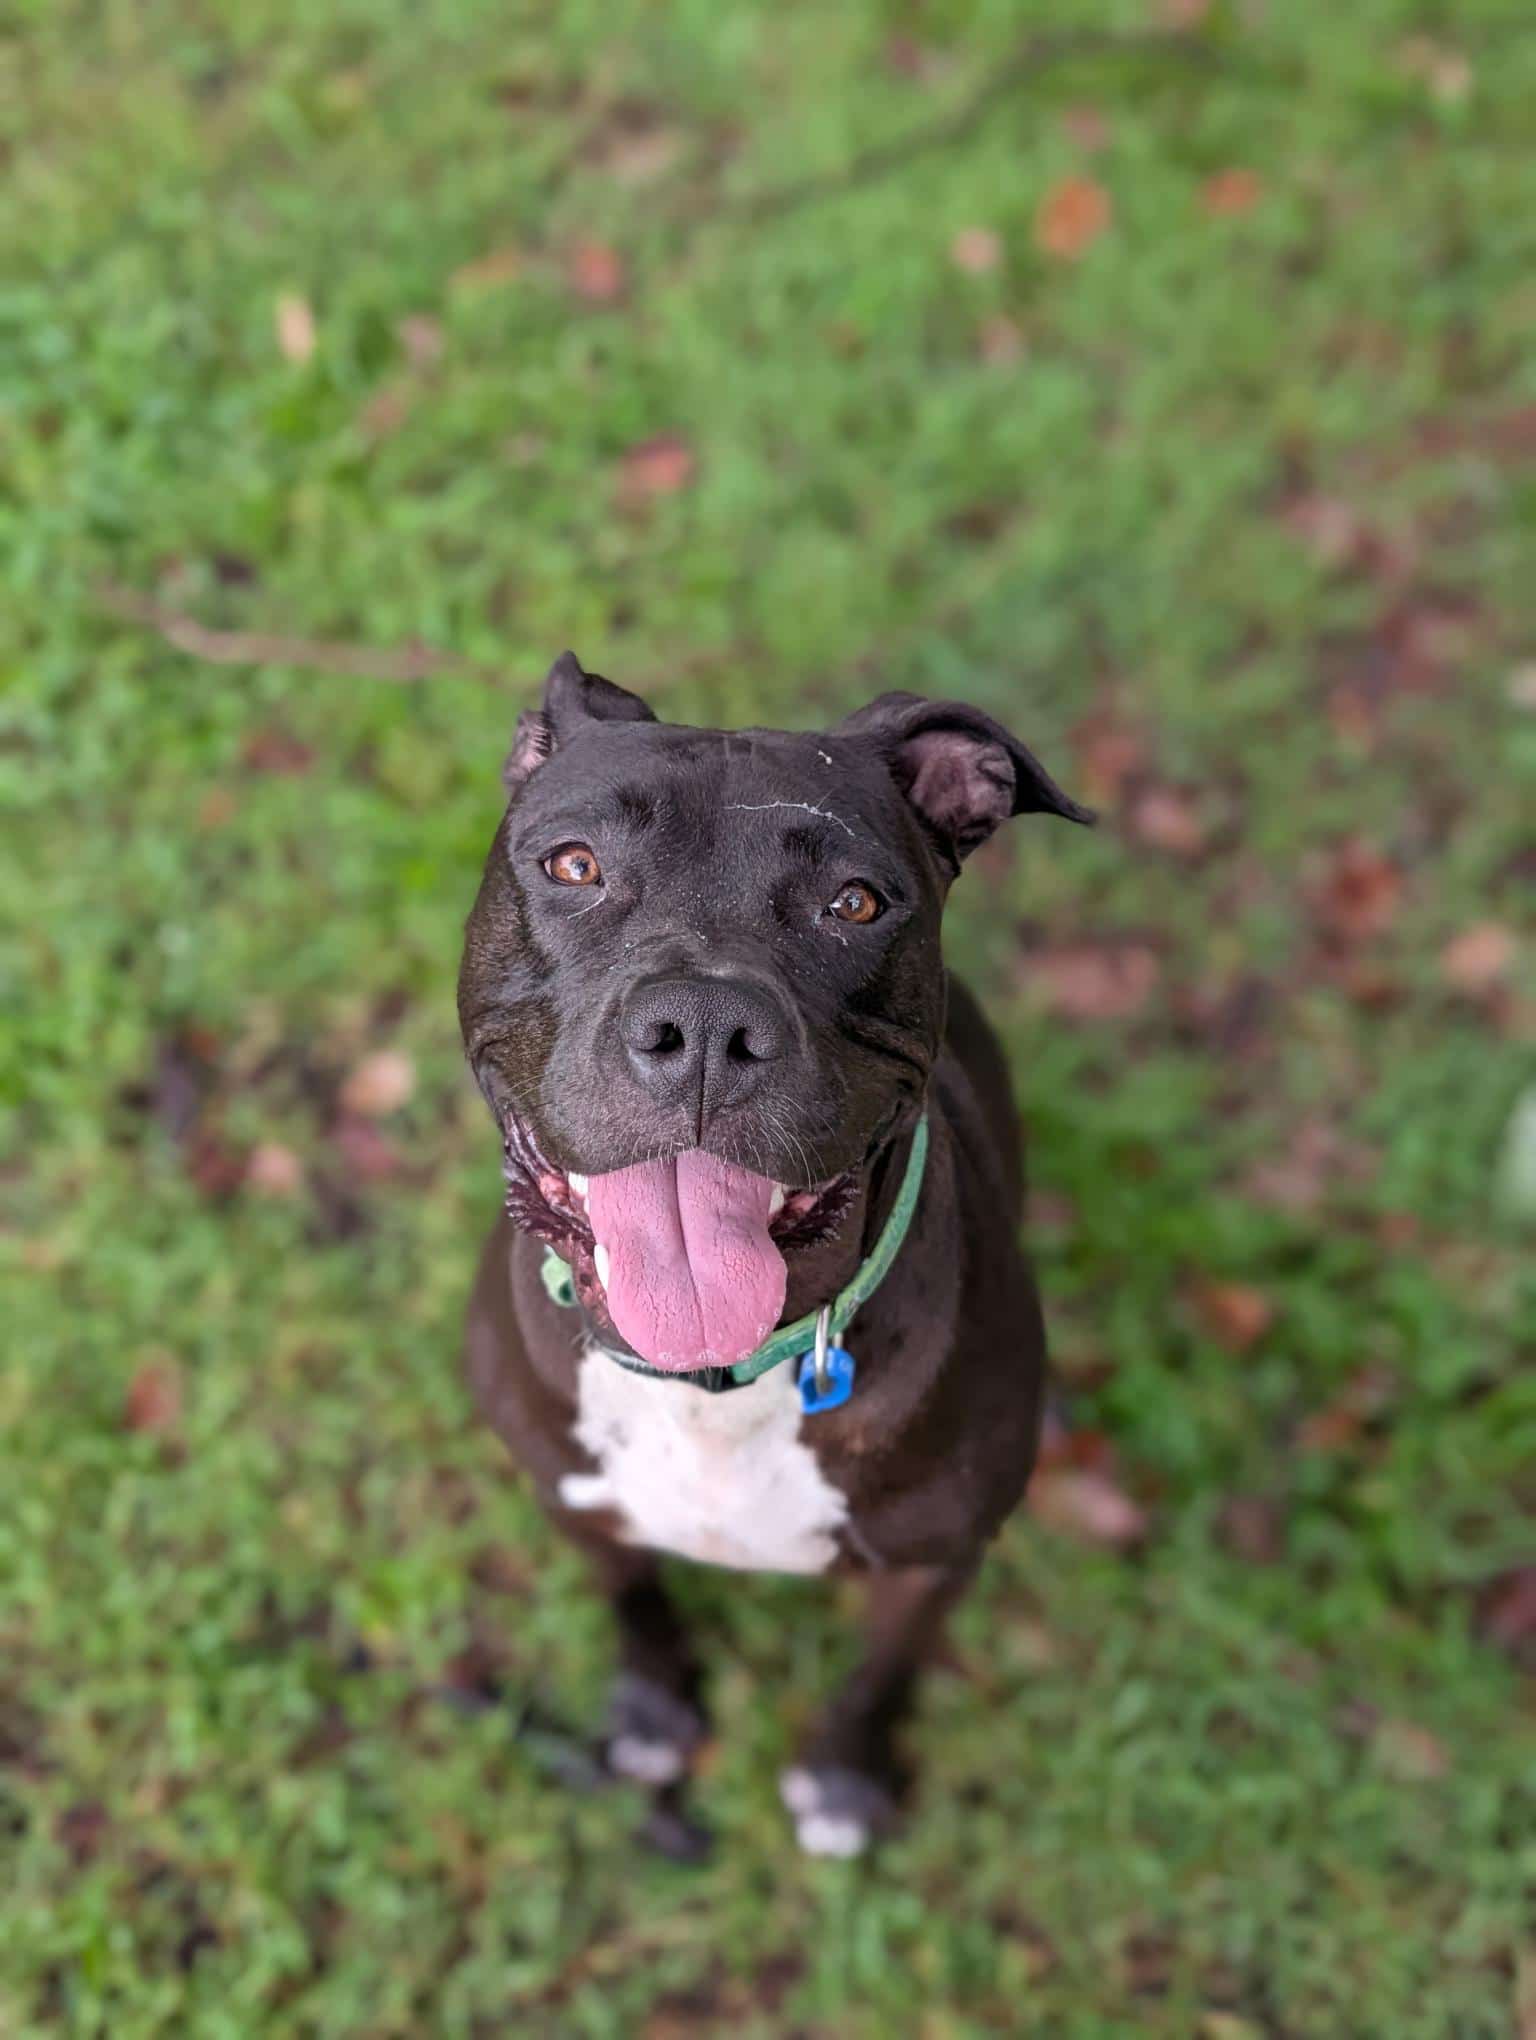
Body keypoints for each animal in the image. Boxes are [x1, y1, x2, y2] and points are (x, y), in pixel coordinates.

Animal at [458, 651, 1091, 1856]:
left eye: (854, 902)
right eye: (574, 864)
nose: (705, 1027)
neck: (712, 1380)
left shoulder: (936, 1562)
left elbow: (882, 1675)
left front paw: (843, 1781)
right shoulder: (573, 1497)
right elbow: (634, 1602)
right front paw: (653, 1711)